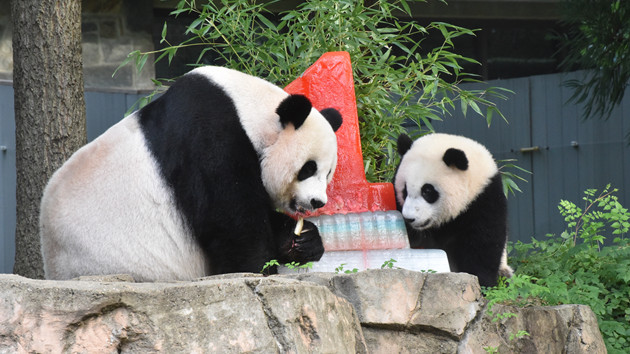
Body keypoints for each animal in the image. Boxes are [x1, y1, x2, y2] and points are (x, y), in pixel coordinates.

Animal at [40, 66, 344, 282]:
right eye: (308, 168)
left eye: (328, 173)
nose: (317, 202)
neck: (248, 110)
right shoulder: (208, 140)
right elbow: (230, 218)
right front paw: (257, 269)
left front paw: (305, 241)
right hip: (112, 259)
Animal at [398, 133, 516, 288]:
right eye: (404, 190)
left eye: (427, 191)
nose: (409, 218)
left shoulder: (484, 200)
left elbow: (483, 245)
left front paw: (481, 281)